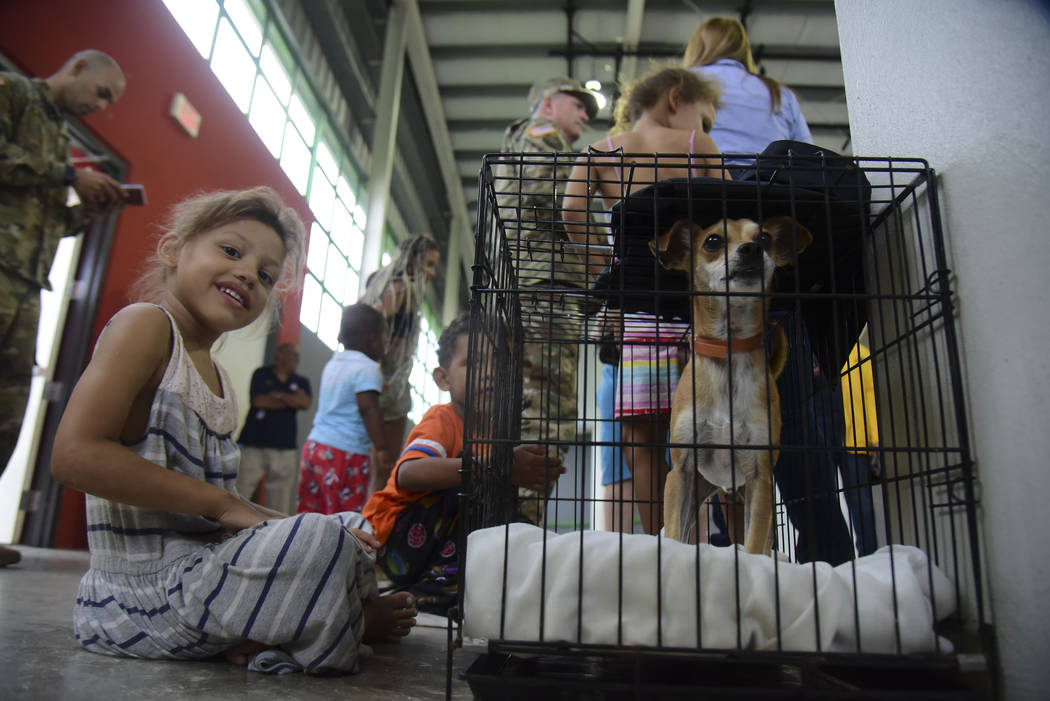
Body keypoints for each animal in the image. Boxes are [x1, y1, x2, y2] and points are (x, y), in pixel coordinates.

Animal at [651, 215, 814, 554]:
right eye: (712, 241)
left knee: (764, 540)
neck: (728, 349)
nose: (752, 249)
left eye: (764, 238)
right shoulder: (681, 474)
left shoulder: (759, 480)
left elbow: (753, 545)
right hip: (698, 490)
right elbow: (673, 534)